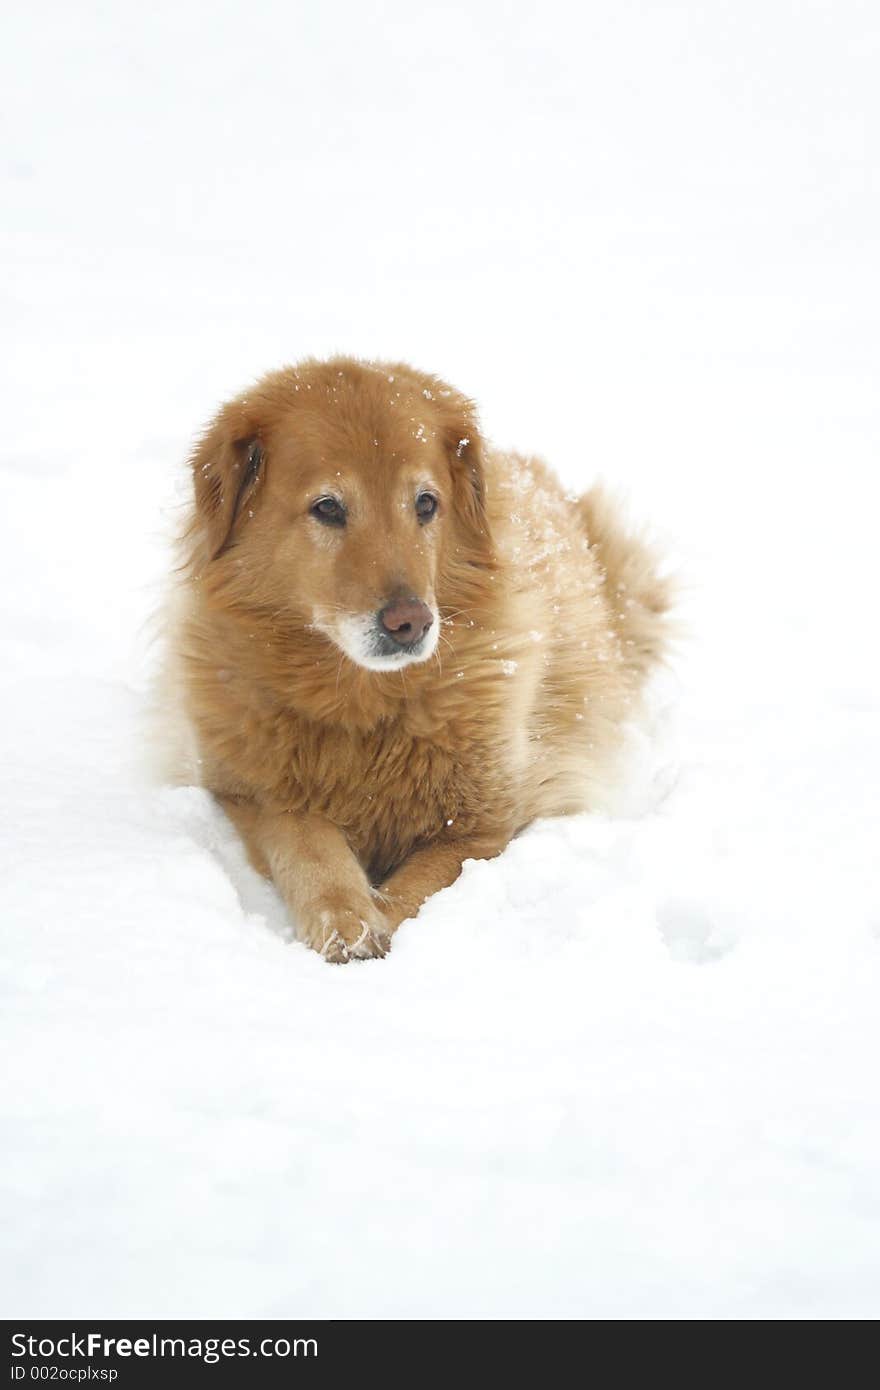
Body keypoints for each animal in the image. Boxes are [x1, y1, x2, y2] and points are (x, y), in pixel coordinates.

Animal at [163, 358, 672, 961]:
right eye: (328, 507)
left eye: (425, 503)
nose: (411, 622)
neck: (363, 705)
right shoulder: (249, 793)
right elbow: (306, 843)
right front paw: (344, 916)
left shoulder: (486, 826)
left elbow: (415, 890)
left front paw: (376, 919)